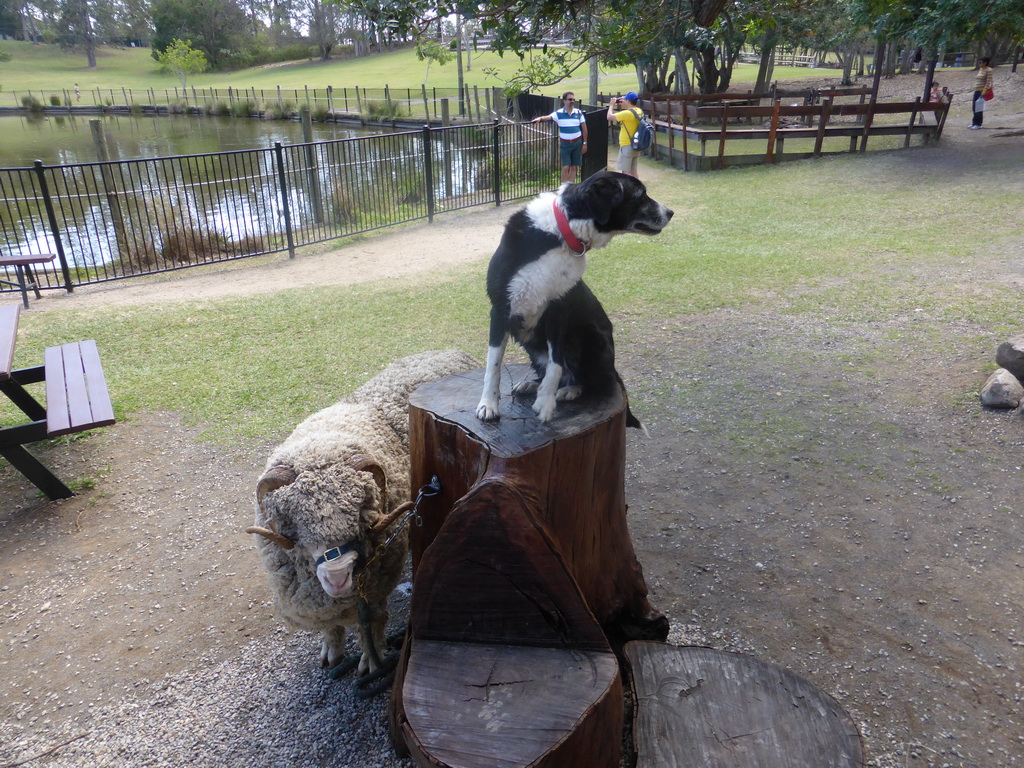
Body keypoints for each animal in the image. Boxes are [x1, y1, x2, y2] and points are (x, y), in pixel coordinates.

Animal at [251, 352, 483, 675]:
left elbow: (372, 624)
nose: (337, 580)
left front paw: (372, 660)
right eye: (295, 524)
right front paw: (331, 651)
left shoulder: (374, 590)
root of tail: (454, 352)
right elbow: (332, 626)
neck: (324, 441)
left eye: (359, 513)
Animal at [477, 169, 675, 428]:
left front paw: (546, 403)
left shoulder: (559, 310)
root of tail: (613, 368)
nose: (670, 212)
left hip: (588, 336)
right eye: (641, 195)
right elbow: (493, 364)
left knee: (596, 383)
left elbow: (556, 364)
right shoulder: (500, 309)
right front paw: (488, 404)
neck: (560, 234)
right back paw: (532, 384)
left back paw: (569, 390)